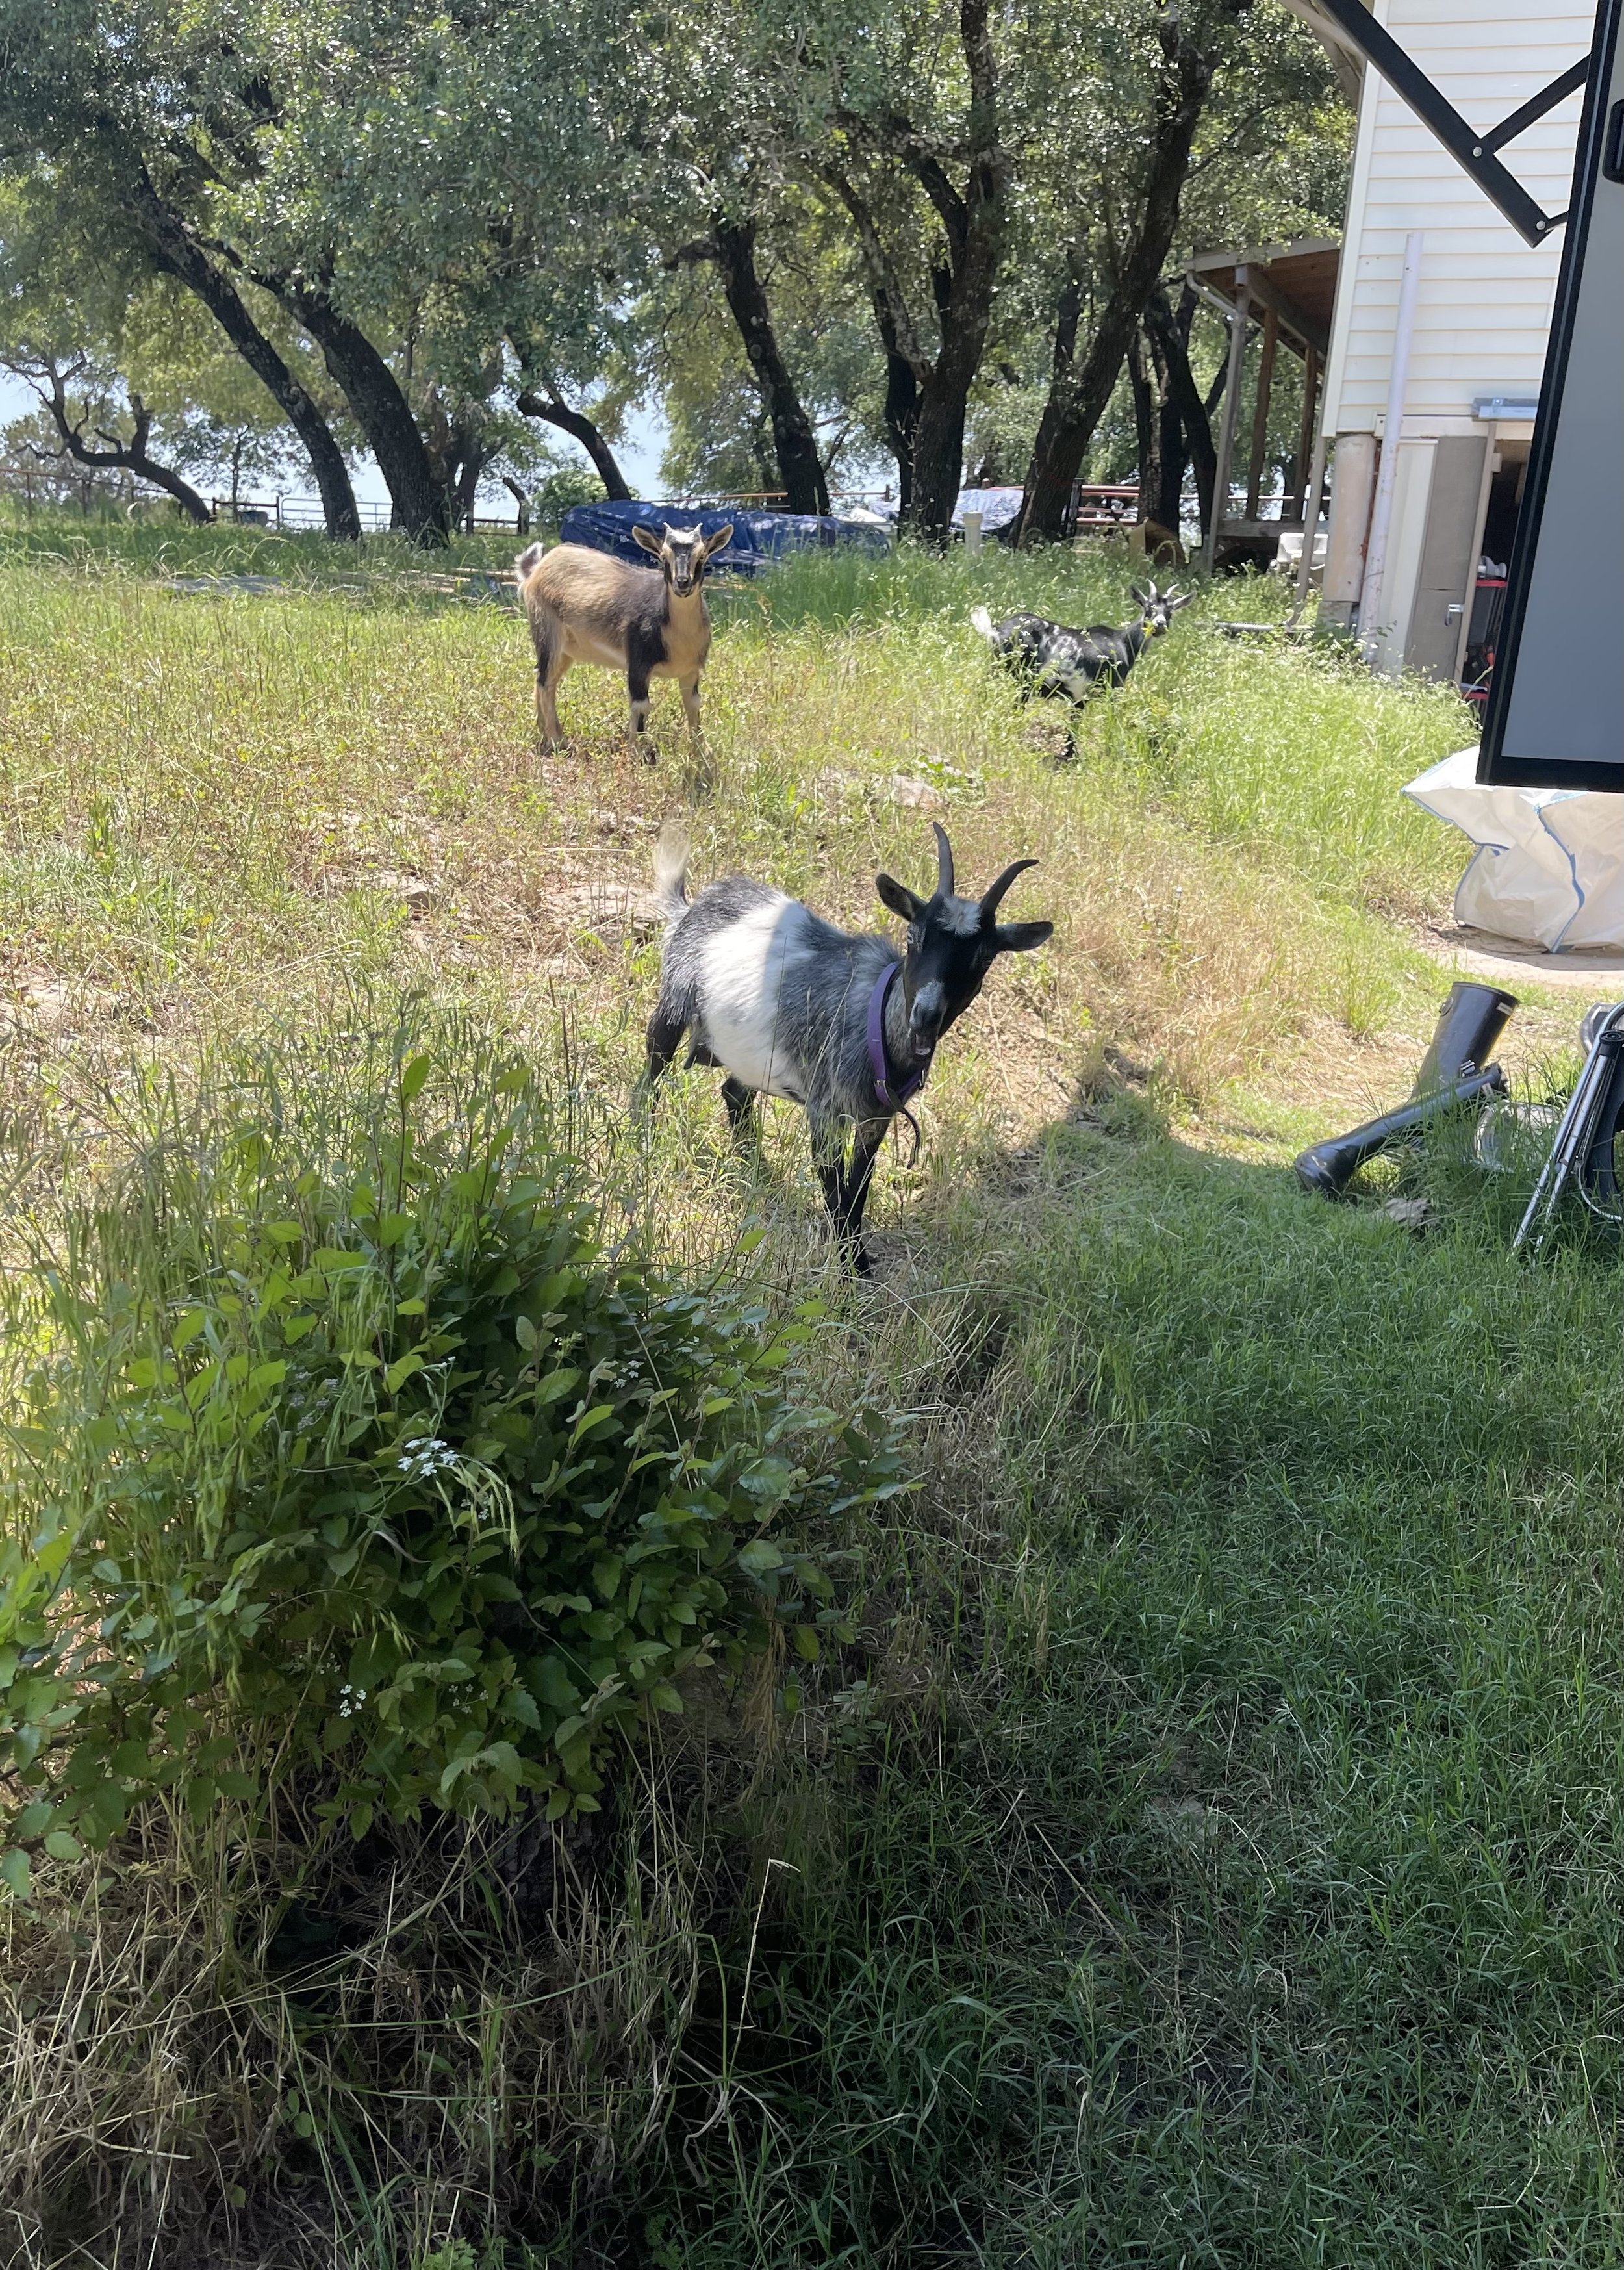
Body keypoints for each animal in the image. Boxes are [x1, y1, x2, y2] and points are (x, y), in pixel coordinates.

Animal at [515, 520, 733, 758]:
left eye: (702, 556)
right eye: (663, 556)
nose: (682, 583)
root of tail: (537, 569)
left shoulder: (691, 670)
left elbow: (693, 704)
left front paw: (702, 751)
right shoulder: (638, 662)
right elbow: (641, 705)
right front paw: (640, 753)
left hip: (567, 649)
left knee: (545, 678)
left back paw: (547, 735)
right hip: (547, 629)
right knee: (545, 682)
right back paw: (558, 742)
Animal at [642, 820, 1052, 1275]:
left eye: (984, 959)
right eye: (913, 937)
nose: (925, 1015)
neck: (877, 1030)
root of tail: (695, 907)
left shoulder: (876, 1120)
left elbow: (858, 1190)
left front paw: (859, 1265)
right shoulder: (826, 1113)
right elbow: (837, 1195)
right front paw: (851, 1272)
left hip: (751, 1055)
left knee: (734, 1092)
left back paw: (756, 1169)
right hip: (673, 1003)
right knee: (652, 1071)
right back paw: (641, 1141)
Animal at [971, 580, 1191, 709]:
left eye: (1170, 611)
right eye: (1148, 608)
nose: (1160, 625)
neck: (1124, 643)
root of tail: (998, 630)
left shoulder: (1078, 699)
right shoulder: (1112, 690)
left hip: (998, 670)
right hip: (1024, 677)